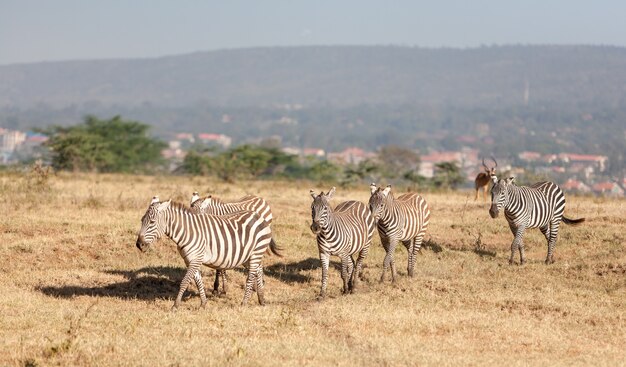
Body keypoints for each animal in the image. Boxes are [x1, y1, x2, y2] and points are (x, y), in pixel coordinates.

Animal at [138, 197, 282, 310]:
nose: (139, 244)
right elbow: (198, 282)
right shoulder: (190, 260)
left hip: (256, 252)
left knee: (251, 276)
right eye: (141, 220)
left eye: (152, 222)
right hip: (248, 255)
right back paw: (261, 299)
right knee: (258, 270)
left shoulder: (196, 259)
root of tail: (259, 216)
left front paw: (175, 306)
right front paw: (203, 304)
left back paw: (244, 303)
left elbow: (185, 282)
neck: (187, 231)